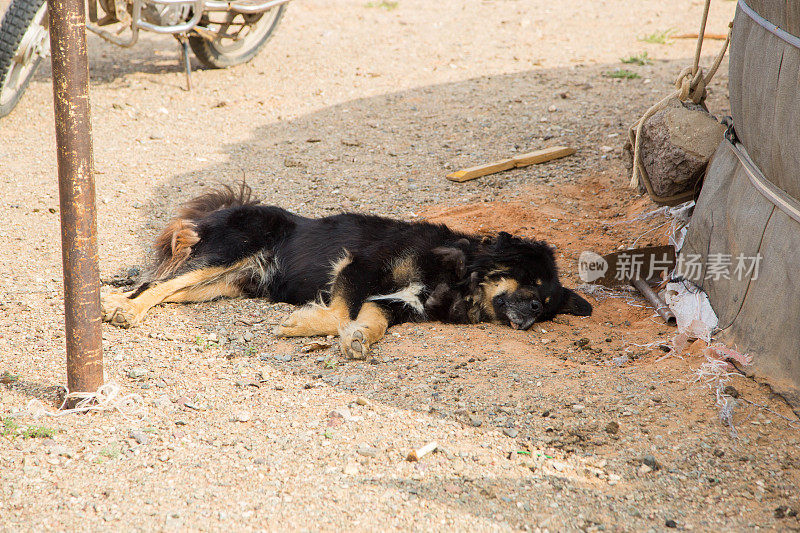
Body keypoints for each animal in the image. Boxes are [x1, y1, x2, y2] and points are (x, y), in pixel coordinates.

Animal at [100, 184, 592, 358]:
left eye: (547, 303)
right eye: (531, 285)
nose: (531, 316)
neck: (460, 272)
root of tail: (224, 207)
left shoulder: (394, 304)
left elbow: (370, 322)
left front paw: (357, 339)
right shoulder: (361, 265)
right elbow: (339, 309)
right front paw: (302, 325)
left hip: (218, 284)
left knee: (168, 288)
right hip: (228, 252)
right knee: (157, 281)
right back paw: (122, 308)